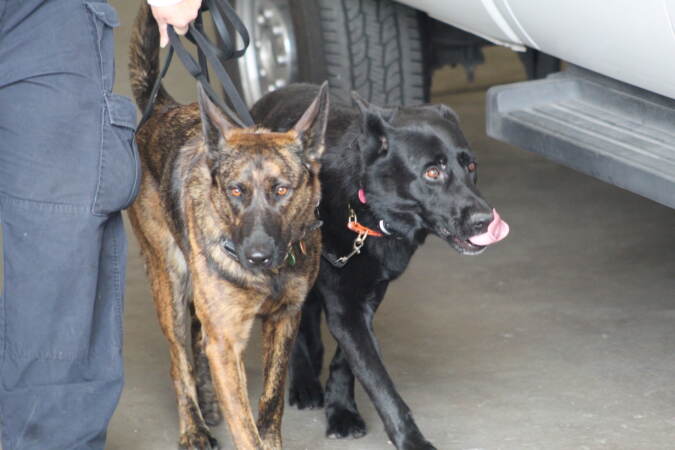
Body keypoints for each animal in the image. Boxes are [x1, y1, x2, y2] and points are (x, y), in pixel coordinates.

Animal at [128, 5, 328, 448]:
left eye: (282, 190)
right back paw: (194, 427)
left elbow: (270, 405)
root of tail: (161, 108)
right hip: (170, 281)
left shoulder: (284, 321)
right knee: (179, 360)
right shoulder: (226, 340)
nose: (257, 255)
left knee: (197, 342)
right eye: (236, 190)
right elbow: (246, 428)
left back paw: (206, 398)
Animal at [251, 82, 510, 448]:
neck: (367, 208)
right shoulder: (345, 305)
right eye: (432, 172)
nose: (486, 221)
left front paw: (341, 409)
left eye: (471, 167)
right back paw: (303, 381)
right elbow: (380, 383)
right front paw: (412, 440)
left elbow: (349, 361)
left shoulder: (367, 297)